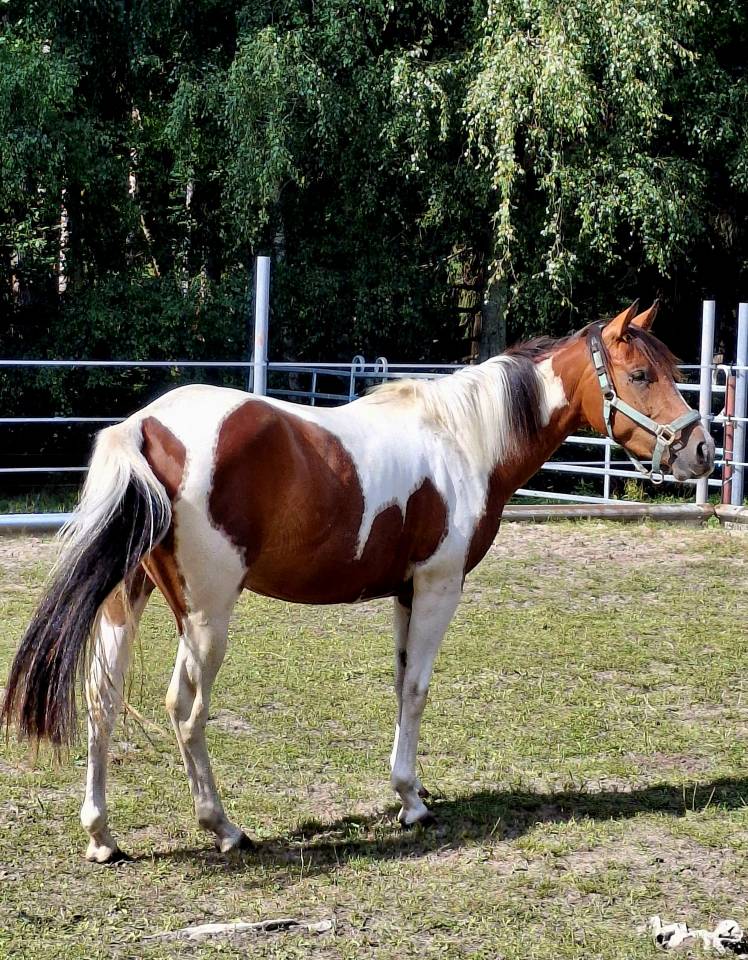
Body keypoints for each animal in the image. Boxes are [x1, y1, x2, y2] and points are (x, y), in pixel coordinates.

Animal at [1, 301, 714, 862]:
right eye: (640, 375)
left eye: (673, 371)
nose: (702, 452)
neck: (463, 440)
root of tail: (143, 427)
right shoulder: (438, 588)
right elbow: (418, 691)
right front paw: (412, 803)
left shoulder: (405, 591)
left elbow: (400, 686)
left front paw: (408, 791)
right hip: (205, 615)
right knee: (185, 707)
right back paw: (224, 828)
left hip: (127, 601)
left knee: (101, 698)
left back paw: (102, 836)